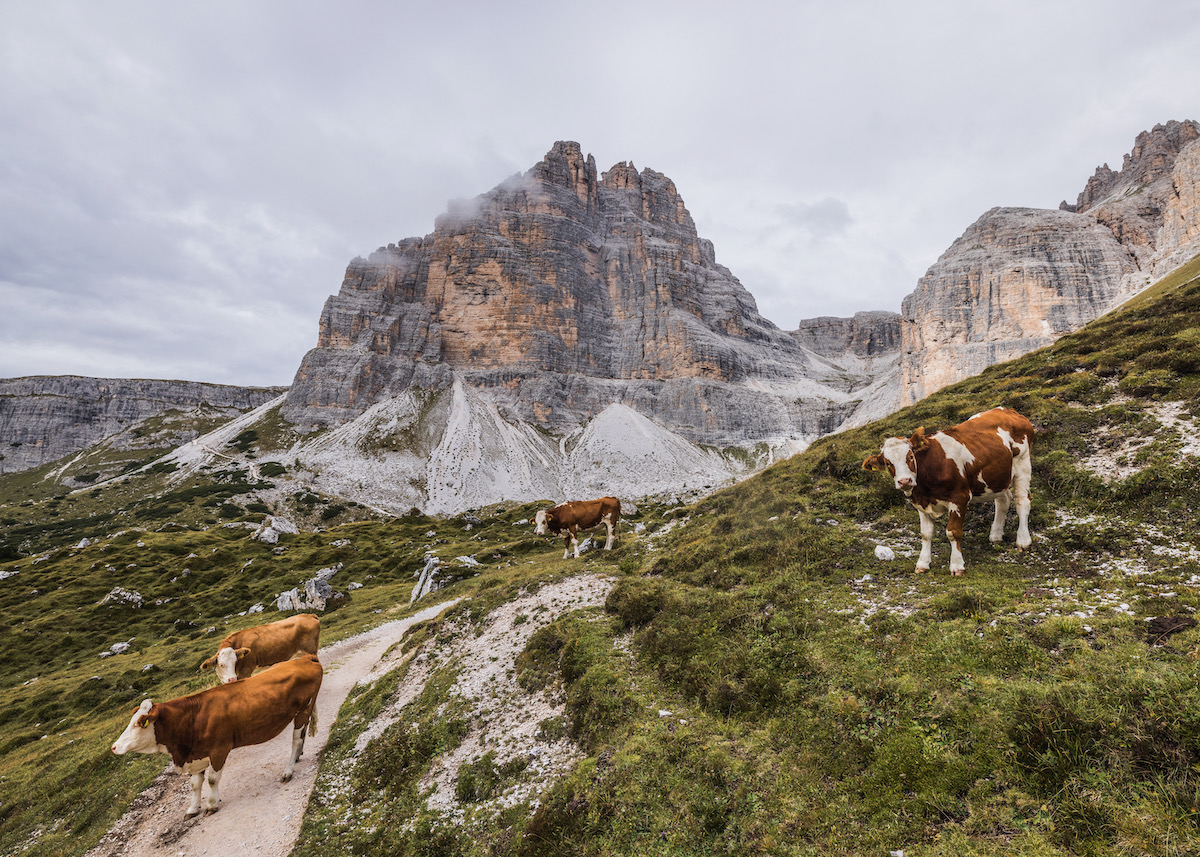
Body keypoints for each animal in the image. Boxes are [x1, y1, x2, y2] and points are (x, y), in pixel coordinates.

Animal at [112, 648, 324, 816]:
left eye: (139, 723)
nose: (114, 747)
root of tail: (306, 658)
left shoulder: (219, 749)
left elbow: (212, 780)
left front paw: (211, 805)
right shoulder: (195, 753)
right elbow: (195, 784)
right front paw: (192, 808)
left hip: (303, 711)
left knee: (296, 740)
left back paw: (288, 770)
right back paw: (297, 757)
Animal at [864, 408, 1032, 573]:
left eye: (911, 456)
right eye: (888, 463)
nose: (904, 481)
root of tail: (1009, 411)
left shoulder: (959, 498)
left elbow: (953, 532)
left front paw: (957, 565)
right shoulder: (920, 504)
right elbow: (925, 534)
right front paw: (922, 563)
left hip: (1022, 464)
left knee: (1022, 501)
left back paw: (1023, 541)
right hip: (997, 476)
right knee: (1003, 500)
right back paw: (996, 535)